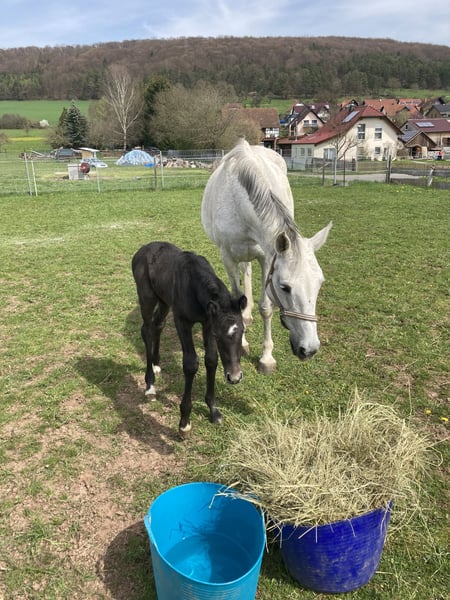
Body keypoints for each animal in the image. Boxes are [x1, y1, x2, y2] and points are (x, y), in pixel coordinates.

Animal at [132, 241, 247, 434]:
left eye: (243, 331)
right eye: (218, 336)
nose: (235, 377)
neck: (193, 285)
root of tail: (142, 250)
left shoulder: (208, 322)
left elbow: (211, 360)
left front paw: (213, 411)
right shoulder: (183, 322)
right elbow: (191, 364)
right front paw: (184, 422)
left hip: (164, 301)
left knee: (158, 325)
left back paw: (156, 363)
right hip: (146, 297)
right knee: (147, 330)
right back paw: (150, 384)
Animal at [201, 138, 332, 374]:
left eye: (320, 283)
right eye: (285, 287)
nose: (309, 349)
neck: (239, 202)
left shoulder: (266, 258)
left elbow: (266, 308)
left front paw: (266, 358)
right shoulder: (228, 257)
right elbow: (235, 300)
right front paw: (242, 344)